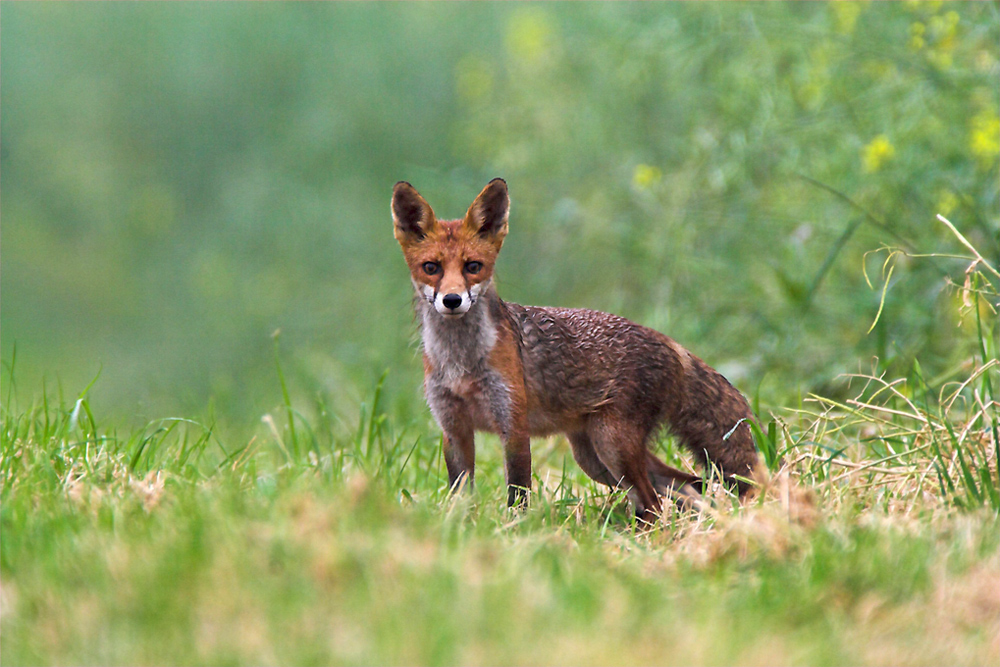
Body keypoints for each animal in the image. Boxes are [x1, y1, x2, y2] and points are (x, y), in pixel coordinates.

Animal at [394, 180, 760, 524]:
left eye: (473, 266)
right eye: (431, 267)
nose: (452, 300)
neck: (461, 365)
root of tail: (669, 342)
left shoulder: (513, 425)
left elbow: (518, 493)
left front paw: (515, 531)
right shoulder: (453, 428)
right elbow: (460, 496)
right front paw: (459, 528)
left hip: (612, 446)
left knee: (658, 501)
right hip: (595, 458)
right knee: (688, 486)